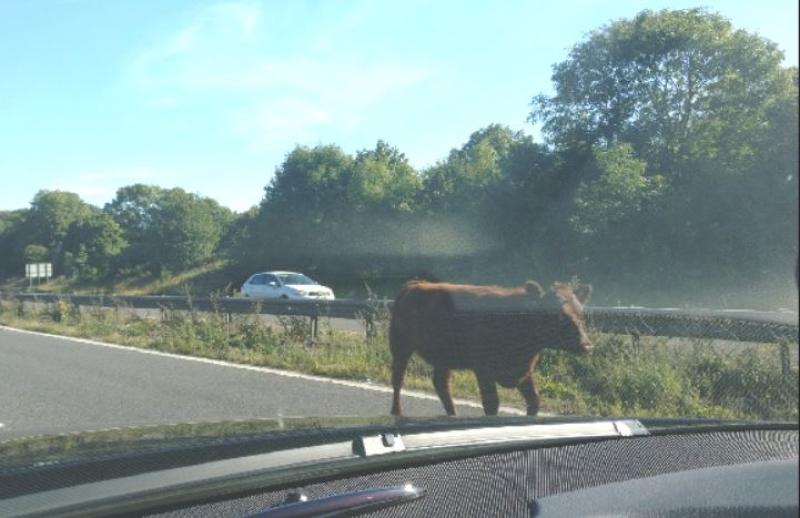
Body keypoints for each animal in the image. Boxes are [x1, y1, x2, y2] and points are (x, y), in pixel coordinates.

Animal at [389, 279, 592, 417]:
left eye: (582, 314)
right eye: (557, 315)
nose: (586, 345)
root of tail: (415, 284)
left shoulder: (524, 371)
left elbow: (534, 401)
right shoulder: (484, 370)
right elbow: (492, 403)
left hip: (444, 358)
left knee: (441, 384)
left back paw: (453, 414)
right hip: (400, 347)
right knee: (398, 379)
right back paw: (396, 412)